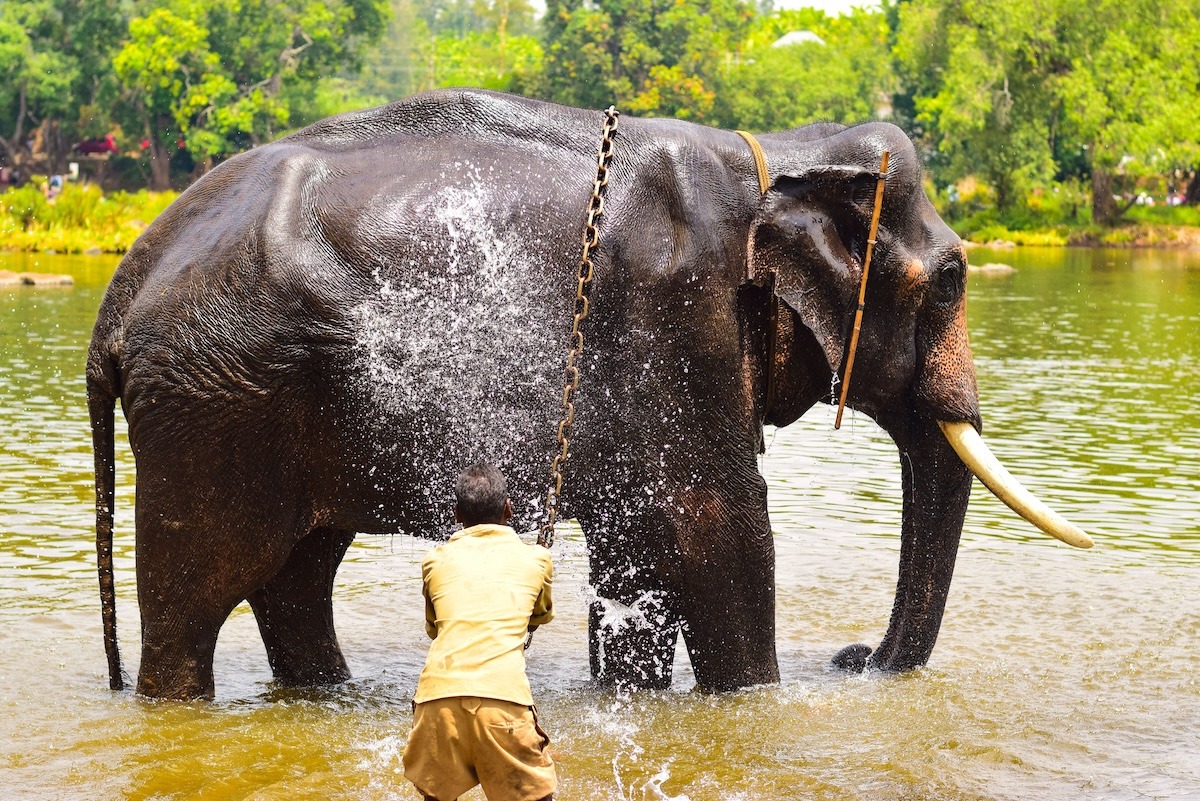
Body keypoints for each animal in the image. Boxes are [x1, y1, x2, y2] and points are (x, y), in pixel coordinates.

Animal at [88, 89, 1094, 700]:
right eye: (955, 278)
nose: (852, 657)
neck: (770, 153)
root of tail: (122, 289)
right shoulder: (680, 317)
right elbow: (722, 527)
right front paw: (756, 700)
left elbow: (642, 544)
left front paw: (633, 698)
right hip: (210, 403)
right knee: (195, 600)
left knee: (299, 573)